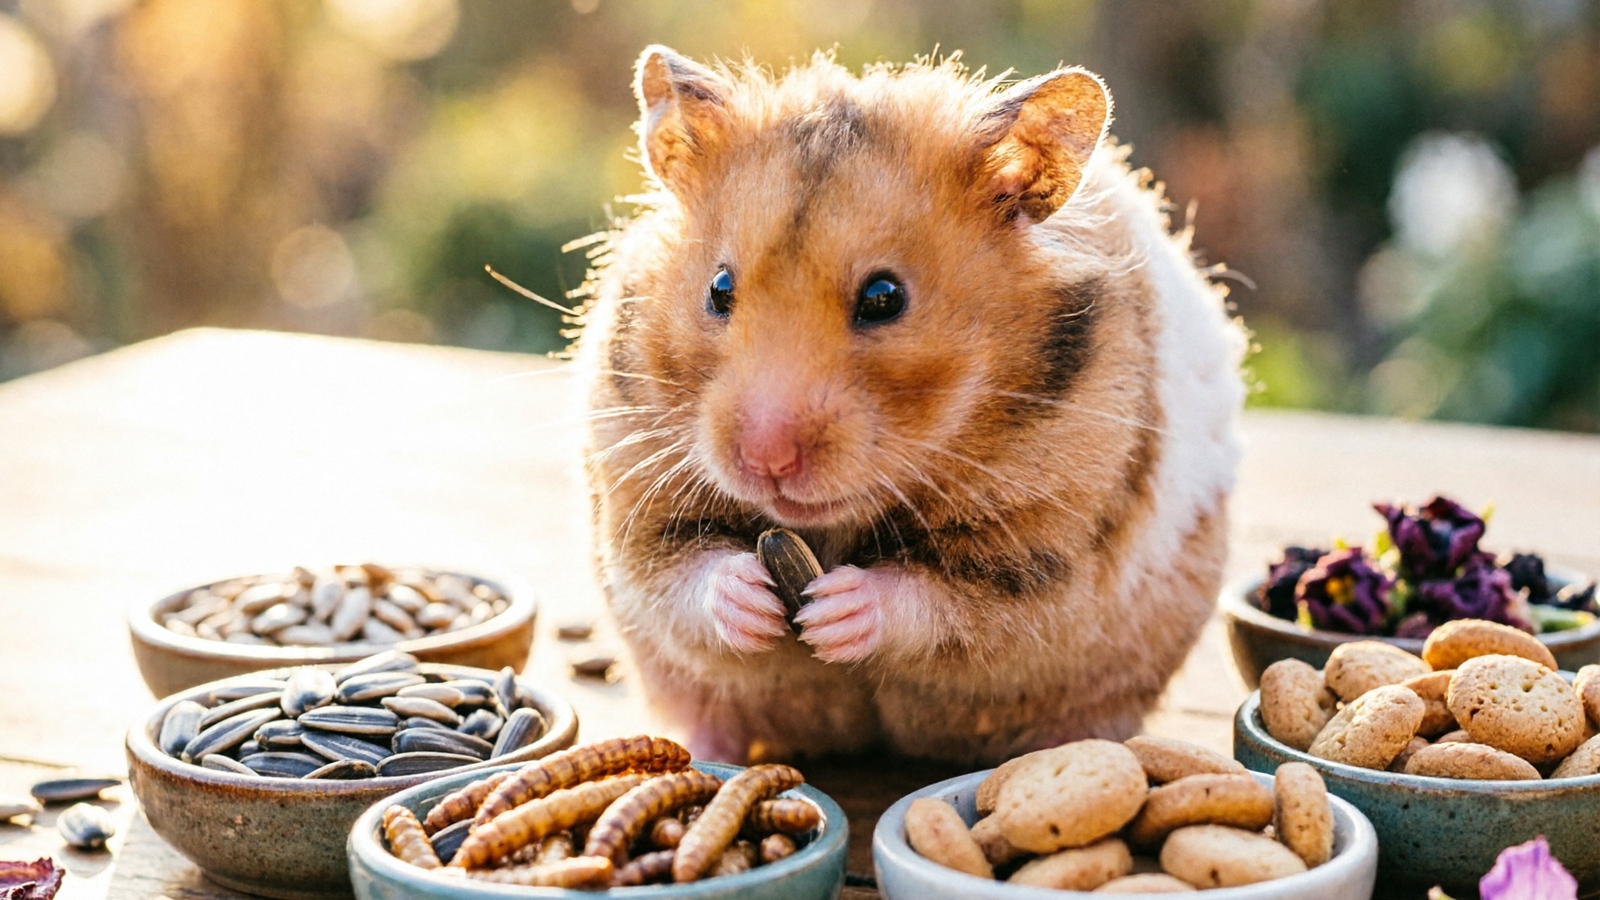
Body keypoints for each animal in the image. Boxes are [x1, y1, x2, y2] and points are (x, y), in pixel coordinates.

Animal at [572, 46, 1247, 765]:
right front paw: (751, 598)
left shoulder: (1044, 547)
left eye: (884, 297)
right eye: (719, 289)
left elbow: (945, 601)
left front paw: (836, 608)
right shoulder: (637, 496)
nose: (765, 460)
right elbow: (680, 573)